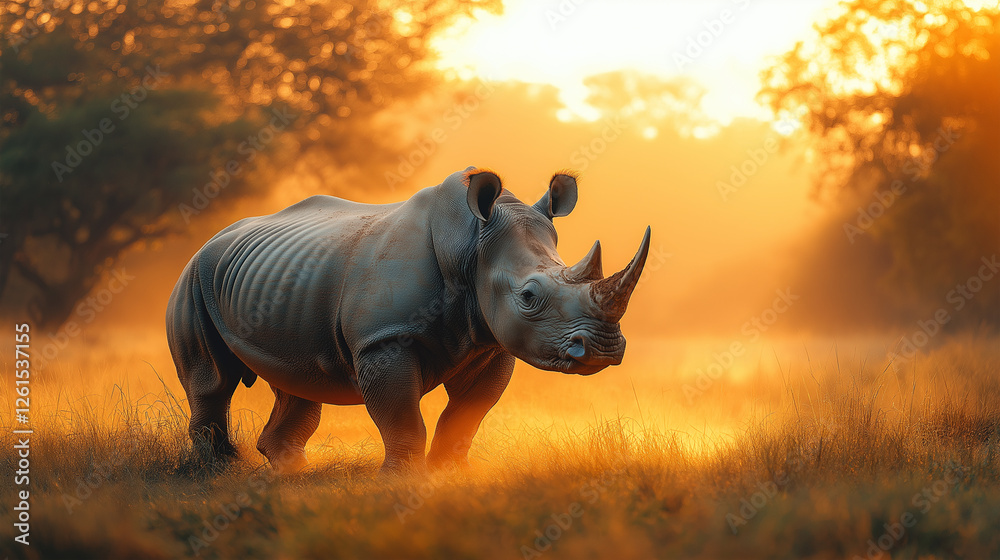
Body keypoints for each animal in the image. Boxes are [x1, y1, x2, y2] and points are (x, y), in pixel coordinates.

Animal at [166, 167, 651, 474]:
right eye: (529, 297)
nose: (604, 349)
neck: (471, 246)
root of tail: (216, 236)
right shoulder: (383, 339)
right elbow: (401, 415)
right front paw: (400, 478)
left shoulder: (490, 342)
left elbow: (467, 415)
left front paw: (450, 475)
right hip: (193, 277)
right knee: (212, 379)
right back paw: (222, 469)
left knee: (297, 377)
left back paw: (291, 470)